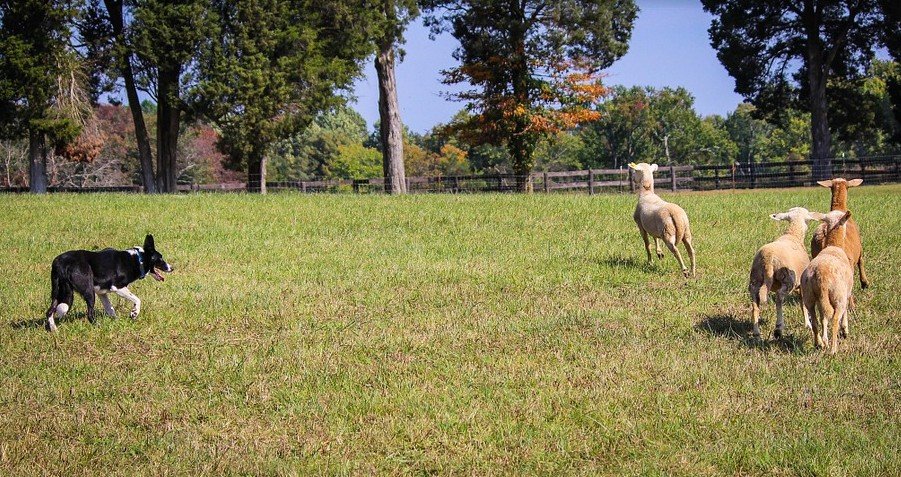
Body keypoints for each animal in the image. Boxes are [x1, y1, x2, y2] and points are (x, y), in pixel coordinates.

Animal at [744, 208, 824, 338]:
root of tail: (768, 258)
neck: (793, 234)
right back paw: (778, 328)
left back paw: (756, 332)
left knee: (755, 305)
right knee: (779, 297)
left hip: (755, 280)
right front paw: (807, 324)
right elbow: (803, 303)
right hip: (788, 280)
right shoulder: (802, 284)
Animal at [800, 209, 852, 354]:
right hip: (838, 296)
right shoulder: (847, 293)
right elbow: (844, 313)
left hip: (809, 297)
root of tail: (820, 275)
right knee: (834, 320)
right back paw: (833, 350)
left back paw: (819, 344)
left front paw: (824, 340)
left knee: (815, 321)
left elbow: (823, 318)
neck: (833, 245)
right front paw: (845, 330)